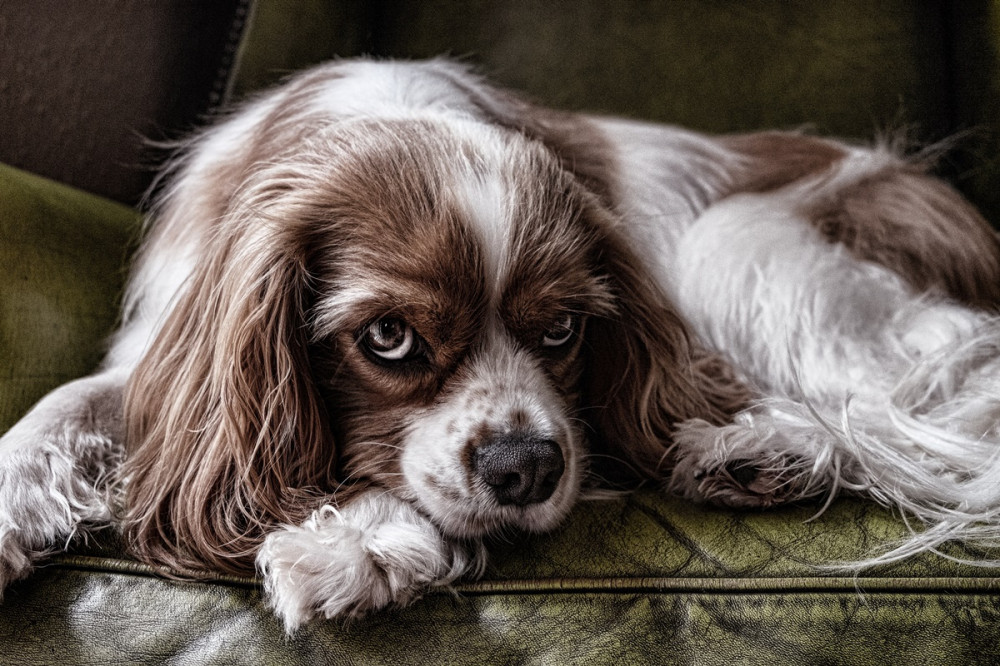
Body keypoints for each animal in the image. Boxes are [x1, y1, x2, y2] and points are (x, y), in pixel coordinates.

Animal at [1, 57, 1000, 628]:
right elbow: (67, 403)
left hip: (744, 242)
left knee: (909, 408)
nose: (526, 468)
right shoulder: (173, 349)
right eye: (389, 337)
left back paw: (764, 448)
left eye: (561, 329)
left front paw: (360, 540)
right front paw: (11, 502)